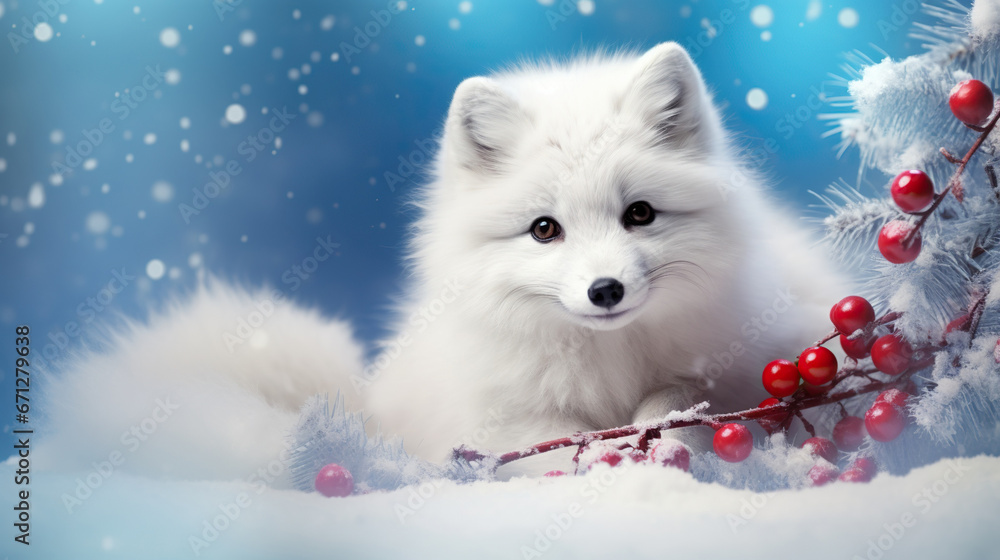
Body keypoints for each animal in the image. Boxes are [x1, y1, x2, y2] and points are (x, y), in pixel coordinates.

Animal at [36, 43, 848, 483]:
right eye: (544, 230)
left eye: (640, 215)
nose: (605, 290)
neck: (609, 359)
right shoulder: (503, 421)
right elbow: (555, 440)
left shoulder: (736, 367)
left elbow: (678, 407)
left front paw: (662, 436)